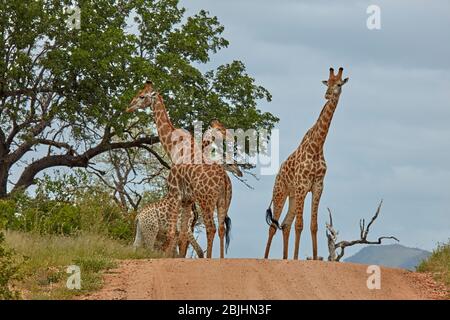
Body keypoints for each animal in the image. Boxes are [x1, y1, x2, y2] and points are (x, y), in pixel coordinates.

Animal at [264, 67, 348, 260]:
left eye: (339, 84)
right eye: (327, 82)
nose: (327, 94)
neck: (317, 146)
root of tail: (277, 174)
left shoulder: (317, 186)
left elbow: (313, 225)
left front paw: (314, 257)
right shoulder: (303, 186)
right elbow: (300, 225)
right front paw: (297, 258)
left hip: (293, 196)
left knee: (285, 224)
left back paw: (285, 259)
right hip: (280, 193)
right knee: (273, 226)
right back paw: (265, 259)